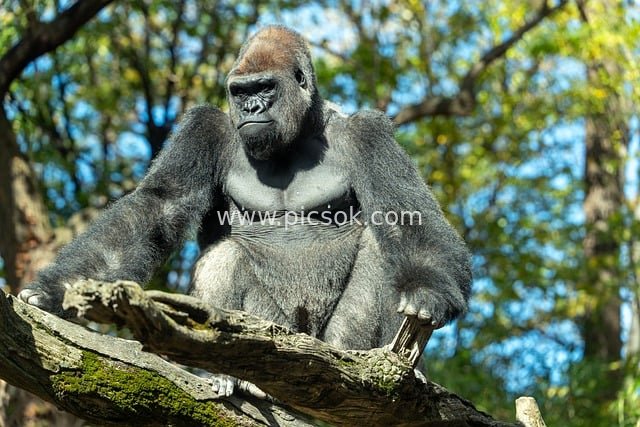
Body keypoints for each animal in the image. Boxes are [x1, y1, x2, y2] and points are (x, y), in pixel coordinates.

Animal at [19, 25, 472, 397]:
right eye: (239, 92)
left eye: (265, 88)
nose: (252, 109)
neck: (299, 131)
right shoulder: (204, 127)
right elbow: (160, 205)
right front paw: (56, 292)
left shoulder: (369, 132)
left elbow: (405, 213)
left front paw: (429, 294)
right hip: (275, 337)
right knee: (226, 258)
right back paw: (233, 375)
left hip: (319, 346)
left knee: (377, 259)